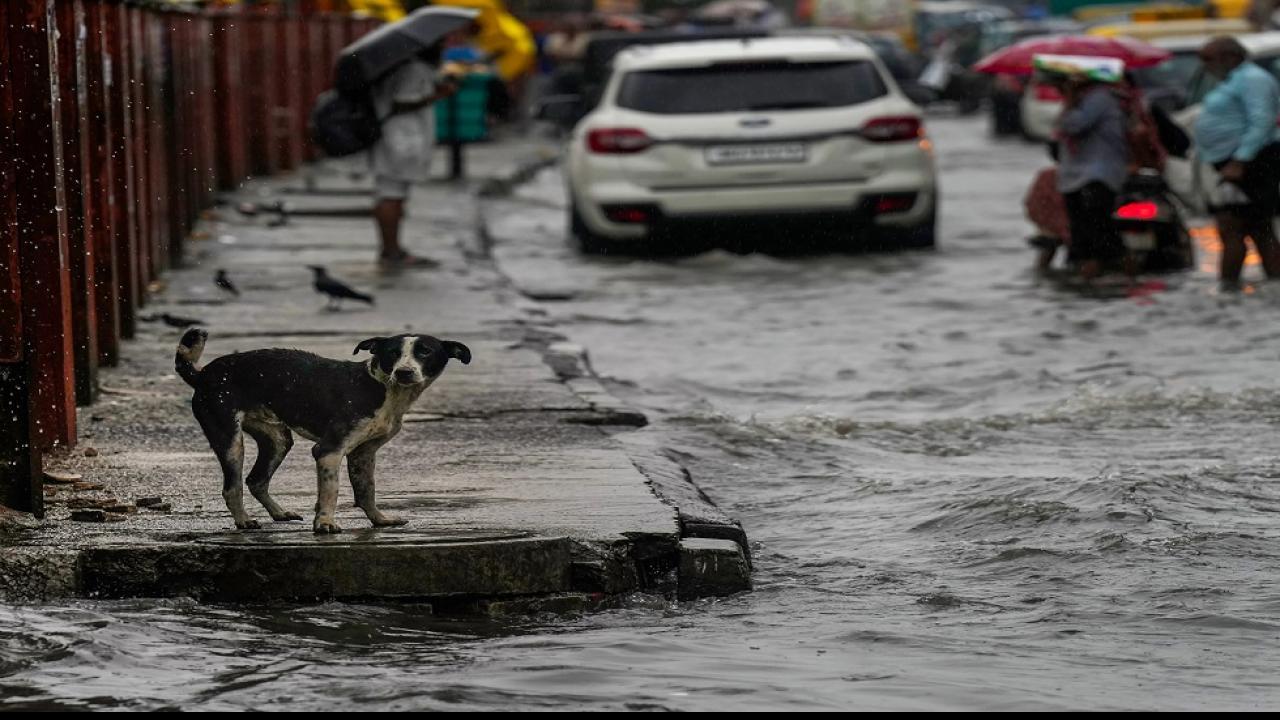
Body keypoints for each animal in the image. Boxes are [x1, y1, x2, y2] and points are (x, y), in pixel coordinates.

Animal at [172, 327, 468, 530]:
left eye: (424, 351)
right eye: (392, 354)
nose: (404, 372)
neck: (381, 386)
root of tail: (202, 374)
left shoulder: (363, 453)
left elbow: (367, 490)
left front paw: (379, 520)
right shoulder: (329, 451)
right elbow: (331, 490)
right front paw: (325, 524)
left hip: (278, 440)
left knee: (256, 480)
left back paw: (279, 513)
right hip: (230, 441)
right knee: (232, 487)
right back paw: (244, 520)